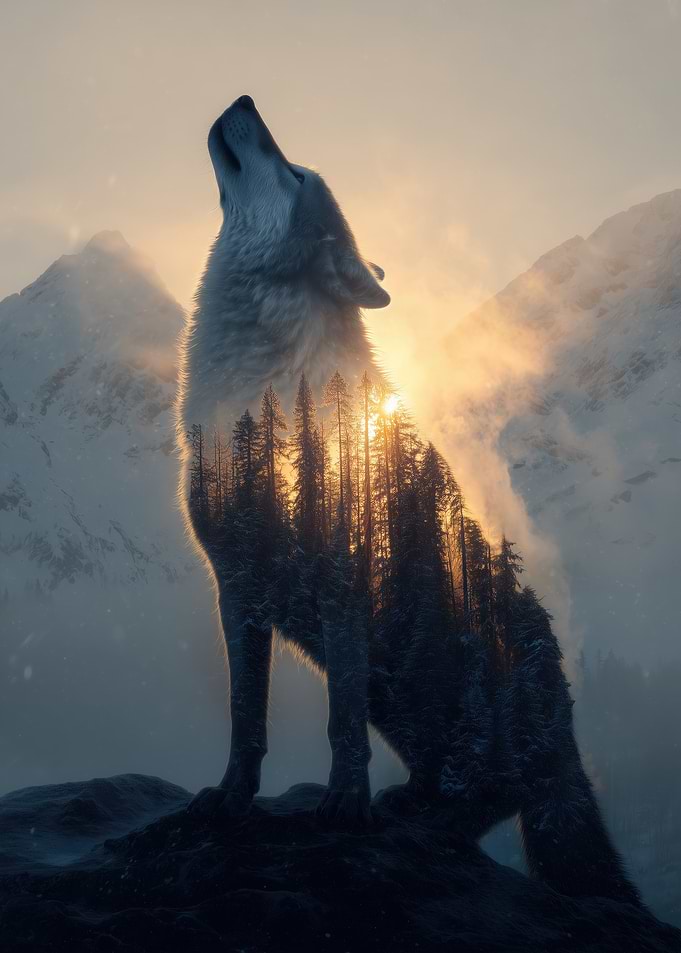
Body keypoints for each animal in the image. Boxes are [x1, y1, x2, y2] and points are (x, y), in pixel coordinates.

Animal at [176, 94, 640, 905]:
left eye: (293, 172)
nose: (244, 101)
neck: (255, 386)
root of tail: (564, 718)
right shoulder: (235, 586)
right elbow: (245, 718)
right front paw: (231, 800)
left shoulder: (340, 574)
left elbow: (339, 725)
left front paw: (344, 806)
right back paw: (411, 804)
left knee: (494, 791)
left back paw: (422, 819)